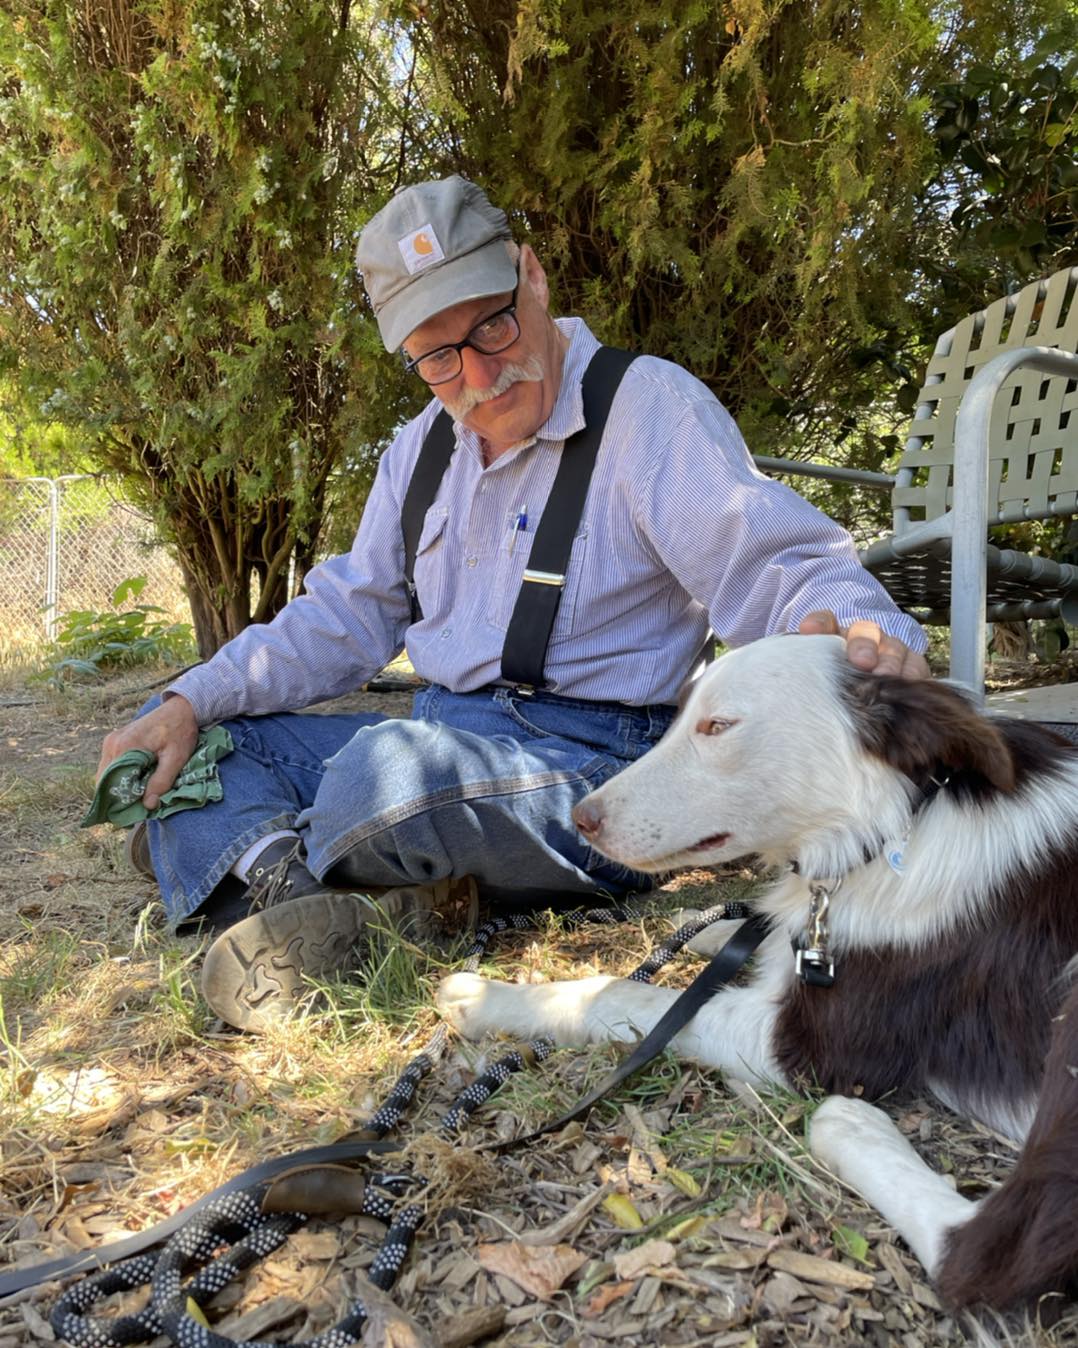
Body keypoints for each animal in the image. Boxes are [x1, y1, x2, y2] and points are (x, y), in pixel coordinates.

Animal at [436, 636, 1078, 1310]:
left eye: (718, 726)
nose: (582, 818)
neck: (893, 828)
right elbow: (754, 935)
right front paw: (707, 925)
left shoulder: (814, 1047)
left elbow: (622, 995)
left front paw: (486, 997)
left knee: (996, 1251)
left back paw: (854, 1127)